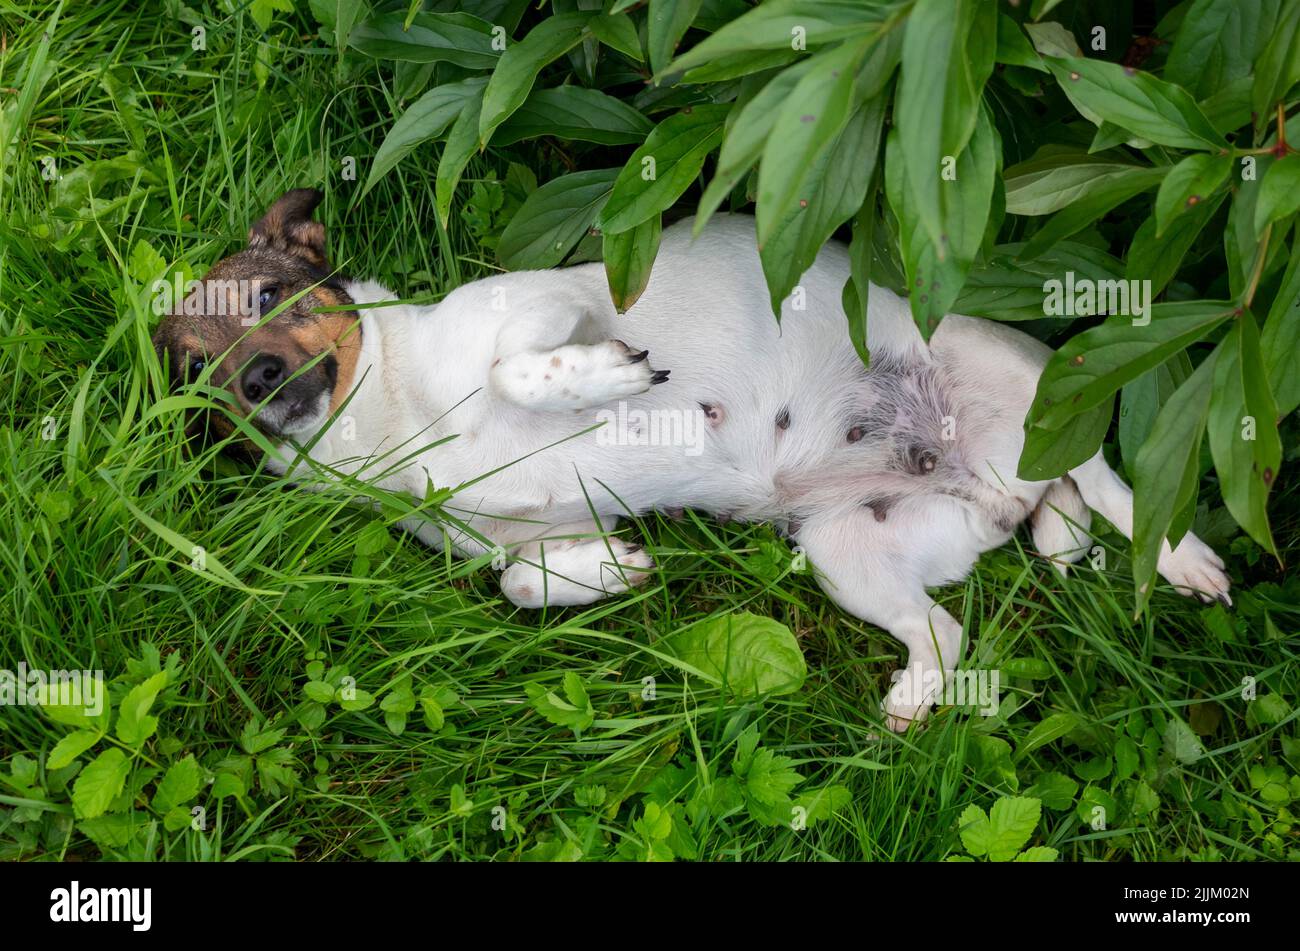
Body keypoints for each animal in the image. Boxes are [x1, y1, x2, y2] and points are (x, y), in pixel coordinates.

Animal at [152, 189, 1227, 732]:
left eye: (267, 298)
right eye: (194, 376)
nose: (257, 378)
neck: (396, 424)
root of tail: (995, 483)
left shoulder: (548, 304)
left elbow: (518, 365)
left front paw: (608, 377)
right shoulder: (509, 534)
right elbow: (516, 579)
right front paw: (606, 571)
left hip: (1032, 382)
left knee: (1120, 486)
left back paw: (1184, 561)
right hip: (850, 554)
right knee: (950, 627)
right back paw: (916, 697)